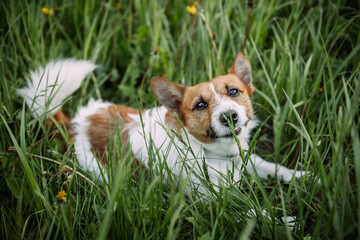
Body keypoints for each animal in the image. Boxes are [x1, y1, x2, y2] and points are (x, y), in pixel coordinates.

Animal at [19, 53, 306, 195]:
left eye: (234, 91)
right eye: (200, 105)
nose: (229, 116)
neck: (209, 152)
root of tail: (77, 124)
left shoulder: (246, 157)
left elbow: (270, 166)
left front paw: (302, 176)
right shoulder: (215, 199)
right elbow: (252, 214)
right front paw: (283, 221)